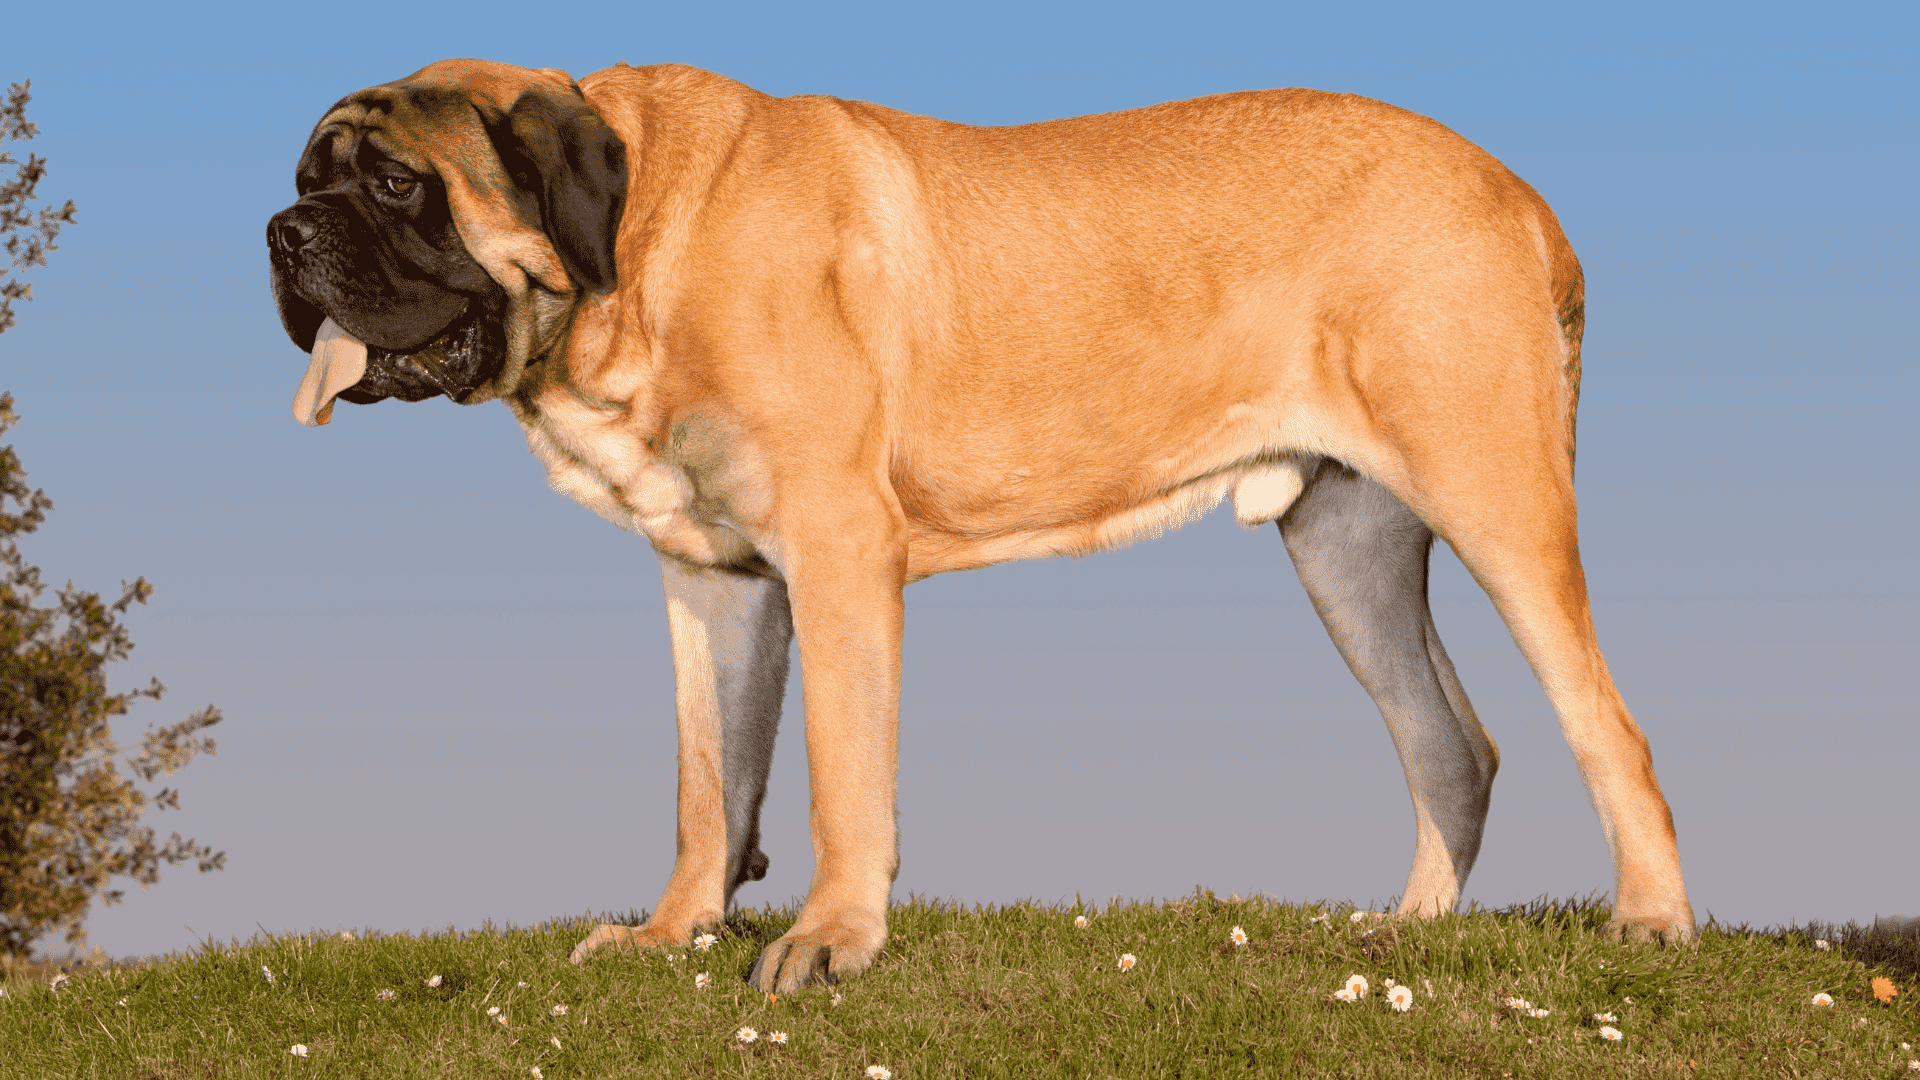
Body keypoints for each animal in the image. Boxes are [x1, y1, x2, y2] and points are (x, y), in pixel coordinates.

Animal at [270, 56, 1697, 983]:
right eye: (308, 177)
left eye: (395, 186)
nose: (282, 231)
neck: (641, 243)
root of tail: (1516, 189)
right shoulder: (713, 579)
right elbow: (706, 780)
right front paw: (674, 932)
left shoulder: (839, 553)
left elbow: (844, 771)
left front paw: (829, 945)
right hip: (1345, 542)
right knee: (1450, 745)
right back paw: (1404, 934)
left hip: (1493, 493)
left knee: (1606, 726)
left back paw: (1650, 922)